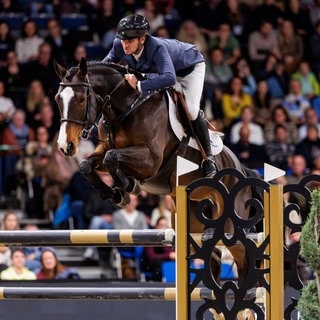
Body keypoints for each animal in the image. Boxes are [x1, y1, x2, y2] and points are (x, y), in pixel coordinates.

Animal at [53, 56, 262, 286]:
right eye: (57, 99)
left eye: (81, 99)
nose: (65, 146)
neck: (126, 108)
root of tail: (241, 167)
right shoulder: (104, 148)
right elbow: (88, 164)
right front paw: (117, 193)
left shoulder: (151, 160)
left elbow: (113, 157)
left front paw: (128, 186)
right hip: (195, 220)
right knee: (214, 257)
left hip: (229, 223)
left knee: (242, 258)